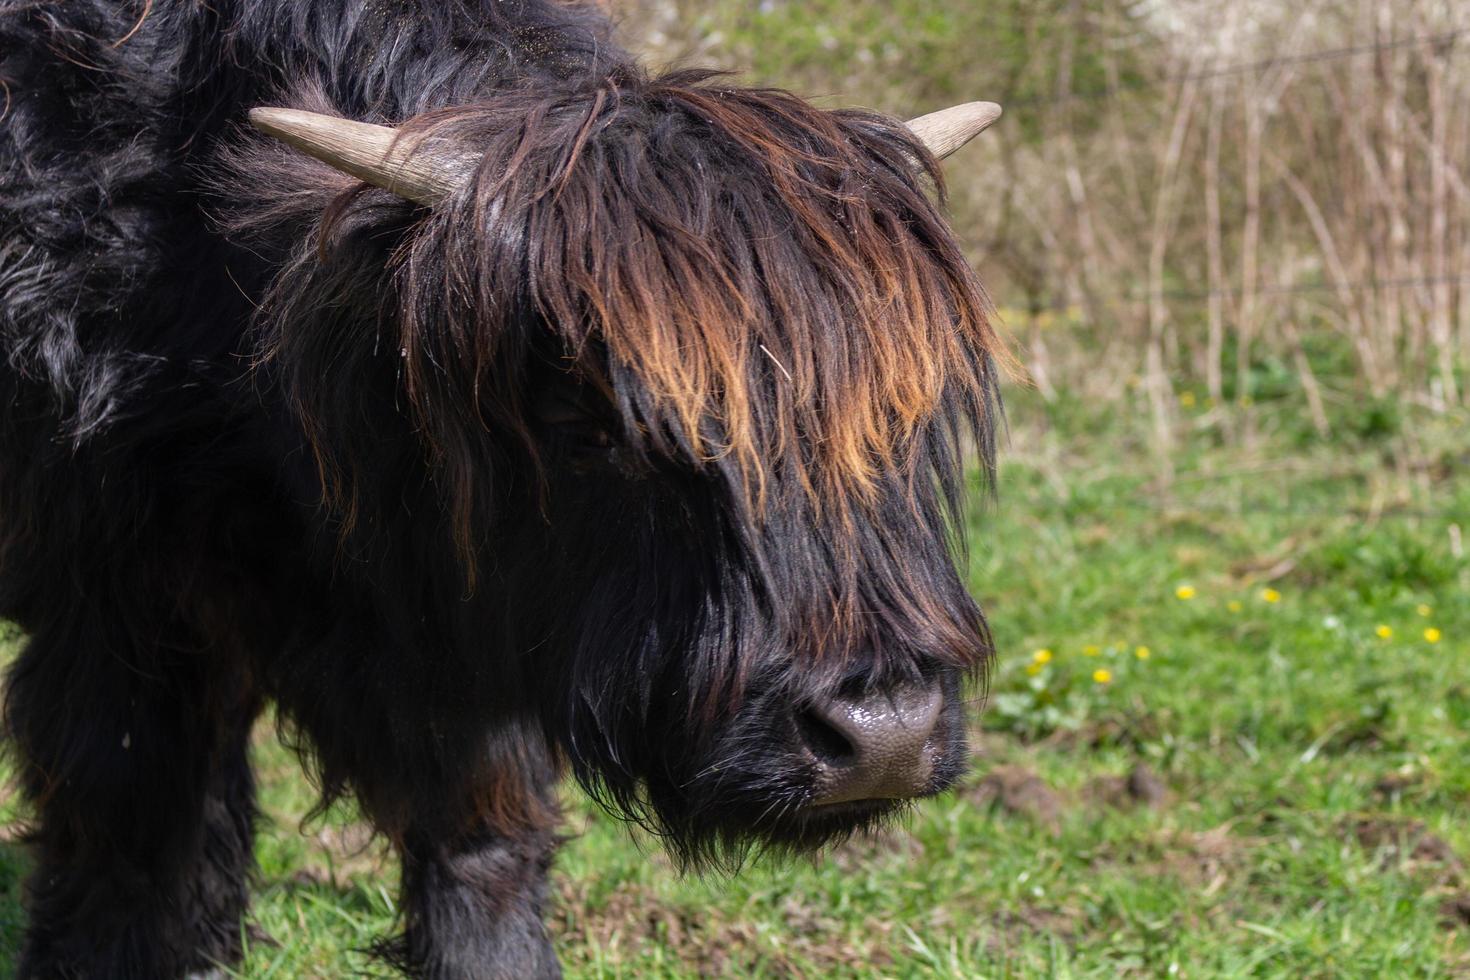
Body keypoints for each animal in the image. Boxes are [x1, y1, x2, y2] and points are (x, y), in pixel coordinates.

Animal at [0, 3, 999, 975]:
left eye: (903, 406)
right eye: (597, 419)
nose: (881, 735)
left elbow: (480, 823)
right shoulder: (116, 599)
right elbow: (123, 812)